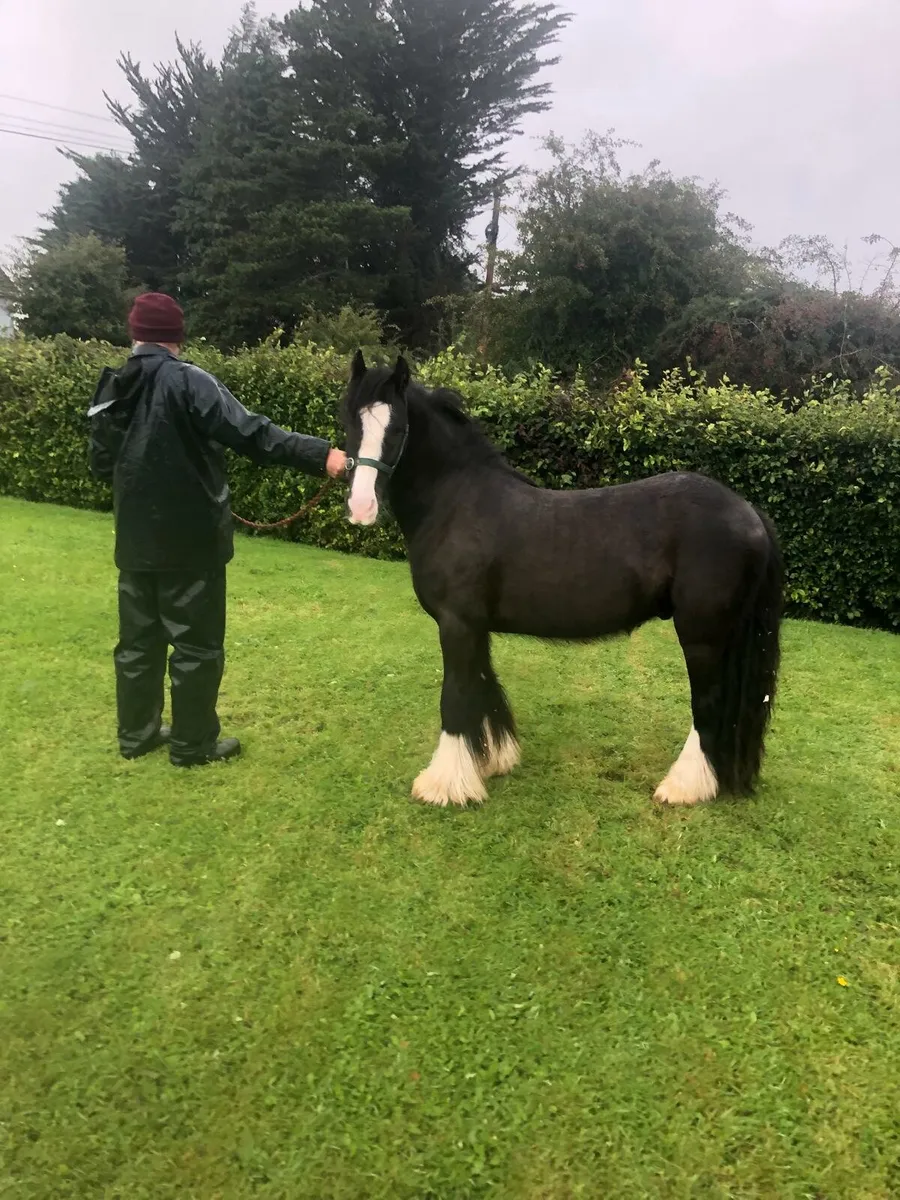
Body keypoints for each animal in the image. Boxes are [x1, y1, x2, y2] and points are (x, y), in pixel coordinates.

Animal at [339, 351, 783, 810]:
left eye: (398, 428)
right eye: (348, 421)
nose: (361, 506)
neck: (457, 501)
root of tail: (749, 512)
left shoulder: (455, 624)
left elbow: (456, 698)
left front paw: (444, 785)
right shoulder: (474, 628)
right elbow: (483, 687)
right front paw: (492, 761)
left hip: (701, 637)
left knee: (707, 705)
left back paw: (683, 787)